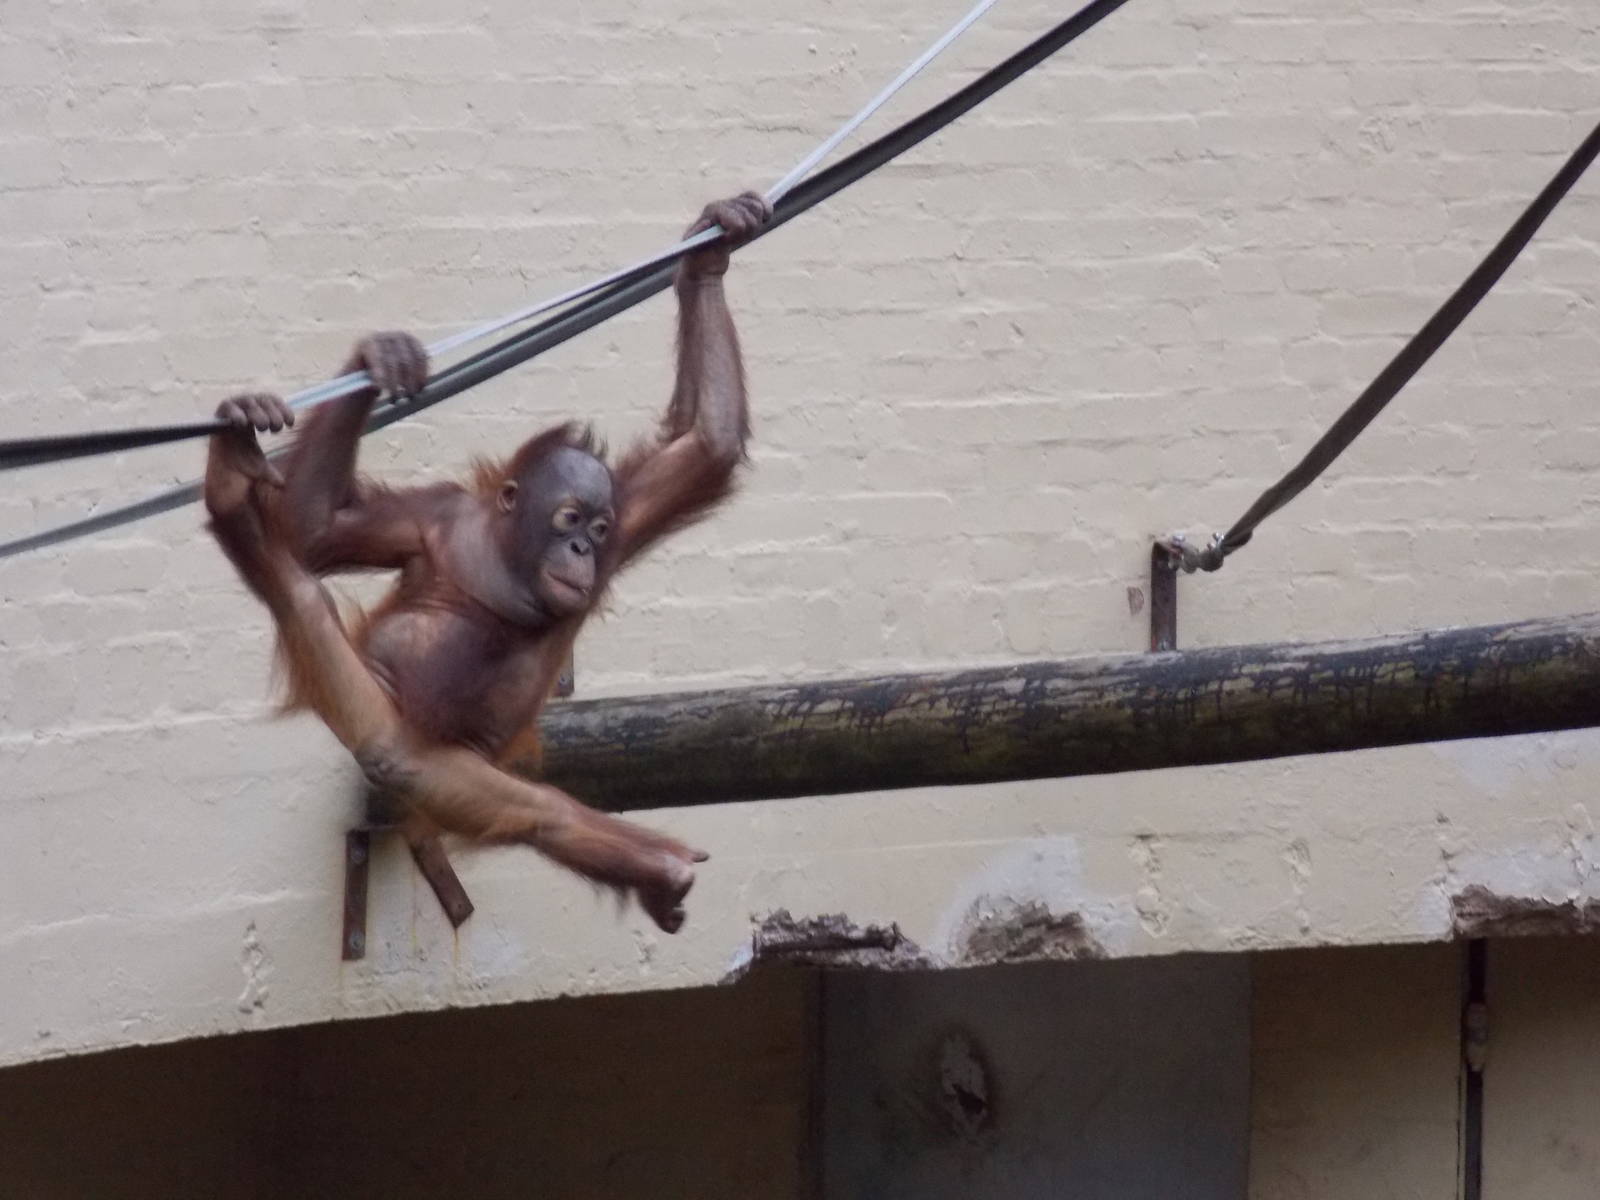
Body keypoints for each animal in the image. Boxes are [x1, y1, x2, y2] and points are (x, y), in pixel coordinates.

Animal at [203, 192, 771, 933]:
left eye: (599, 526)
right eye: (569, 519)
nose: (583, 550)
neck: (509, 559)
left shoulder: (631, 518)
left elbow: (707, 444)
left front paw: (711, 249)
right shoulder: (432, 516)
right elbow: (315, 531)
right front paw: (378, 357)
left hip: (437, 765)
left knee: (537, 812)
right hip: (366, 704)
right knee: (305, 603)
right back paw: (231, 470)